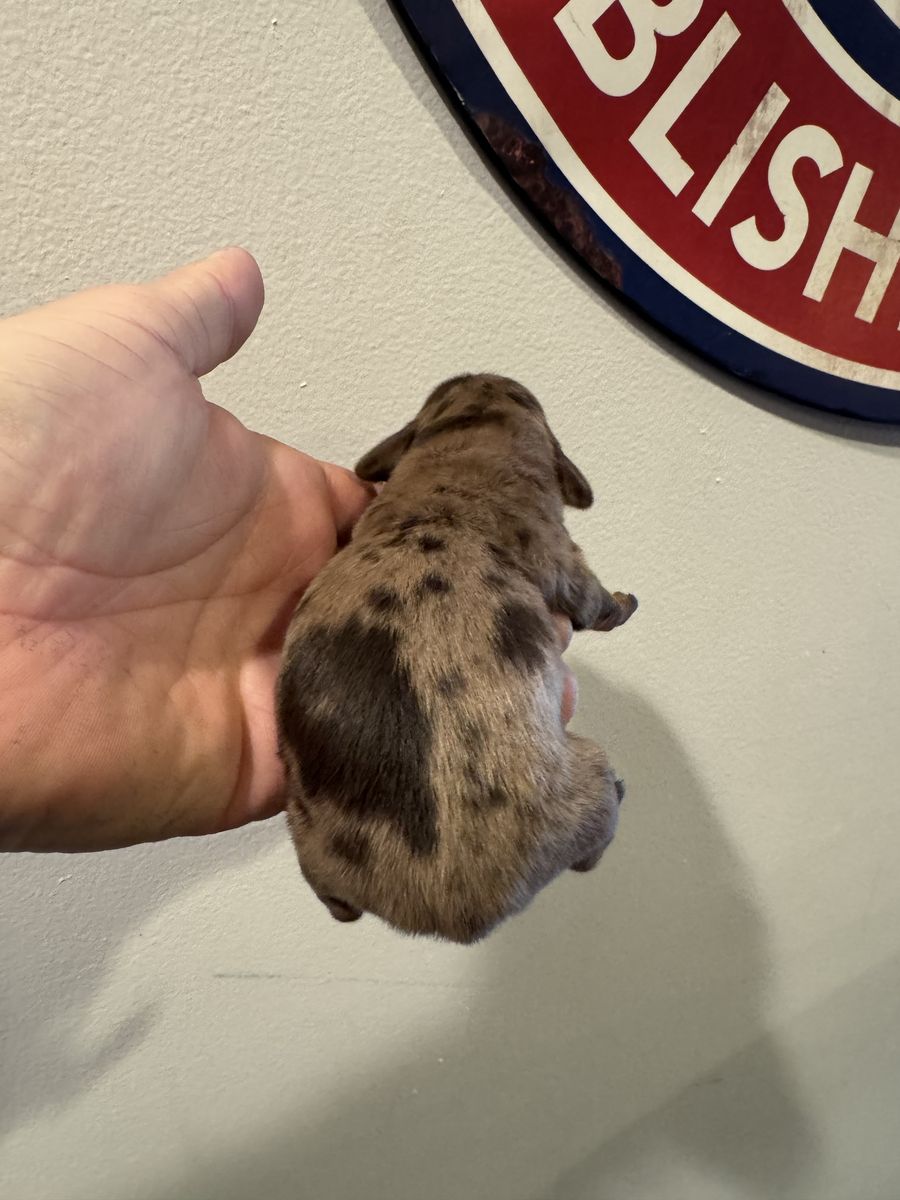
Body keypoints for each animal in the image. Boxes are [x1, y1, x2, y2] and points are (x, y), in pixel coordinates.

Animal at [276, 374, 637, 943]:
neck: (448, 500)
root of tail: (452, 910)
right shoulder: (566, 561)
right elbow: (595, 601)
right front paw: (624, 604)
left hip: (307, 834)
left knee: (330, 895)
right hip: (590, 775)